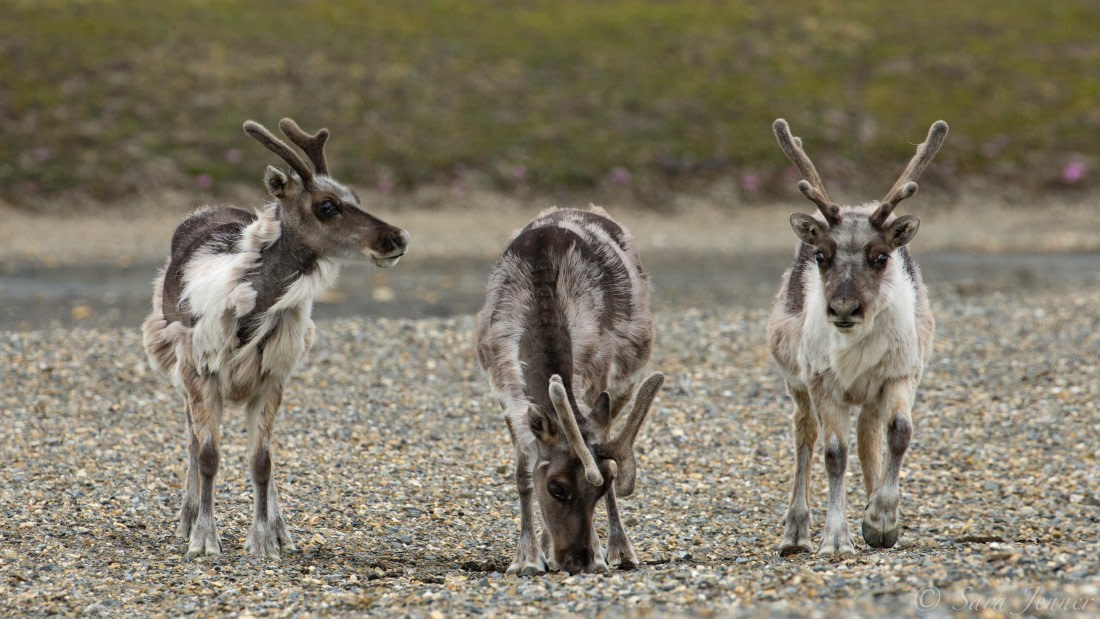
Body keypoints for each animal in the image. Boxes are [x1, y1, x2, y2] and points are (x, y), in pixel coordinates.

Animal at [141, 118, 409, 560]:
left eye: (355, 195)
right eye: (326, 205)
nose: (398, 238)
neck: (252, 309)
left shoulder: (272, 377)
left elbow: (262, 462)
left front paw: (265, 540)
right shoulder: (200, 373)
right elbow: (208, 455)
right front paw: (203, 538)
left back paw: (281, 528)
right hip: (177, 370)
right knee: (192, 441)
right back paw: (186, 519)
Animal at [475, 206, 665, 575]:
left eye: (600, 489)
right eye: (556, 488)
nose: (576, 559)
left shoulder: (598, 372)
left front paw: (601, 553)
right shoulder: (502, 385)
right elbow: (523, 473)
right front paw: (527, 558)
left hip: (625, 381)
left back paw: (621, 550)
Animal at [766, 118, 947, 557]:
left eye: (881, 256)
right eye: (821, 255)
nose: (844, 309)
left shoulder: (901, 373)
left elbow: (899, 433)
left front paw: (881, 522)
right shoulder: (821, 380)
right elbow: (834, 453)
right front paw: (835, 538)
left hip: (869, 395)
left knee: (869, 438)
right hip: (796, 380)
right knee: (804, 434)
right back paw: (795, 533)